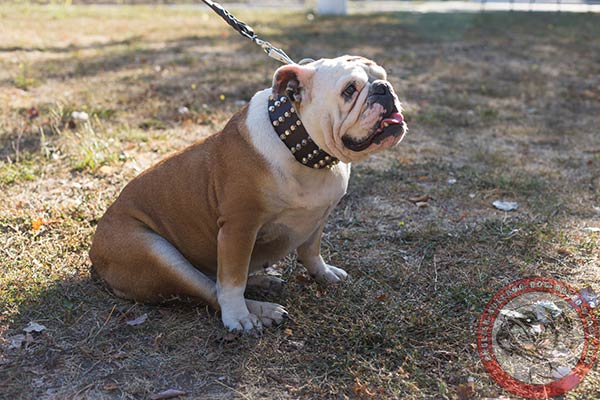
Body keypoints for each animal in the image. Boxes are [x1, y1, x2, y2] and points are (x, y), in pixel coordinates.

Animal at [89, 56, 408, 332]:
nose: (384, 89)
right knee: (211, 289)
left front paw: (324, 273)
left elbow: (310, 251)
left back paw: (262, 282)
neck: (300, 146)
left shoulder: (318, 217)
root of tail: (94, 255)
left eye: (383, 76)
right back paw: (260, 310)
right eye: (349, 90)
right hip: (157, 252)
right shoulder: (238, 229)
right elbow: (231, 281)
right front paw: (239, 318)